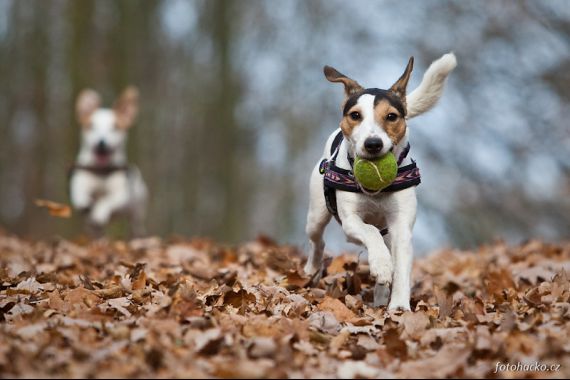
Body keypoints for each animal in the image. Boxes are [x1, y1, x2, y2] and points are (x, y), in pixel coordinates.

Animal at [69, 87, 146, 238]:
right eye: (91, 126)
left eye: (115, 127)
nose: (101, 143)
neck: (101, 170)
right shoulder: (79, 182)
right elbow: (79, 195)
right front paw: (85, 204)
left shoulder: (121, 195)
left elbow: (107, 201)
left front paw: (99, 212)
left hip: (137, 212)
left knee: (136, 227)